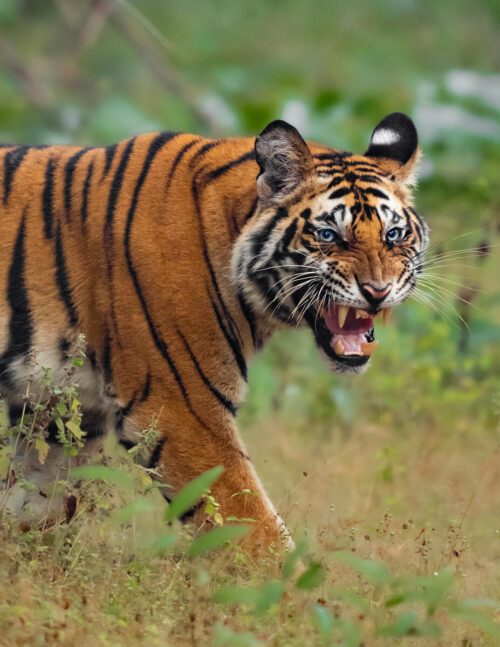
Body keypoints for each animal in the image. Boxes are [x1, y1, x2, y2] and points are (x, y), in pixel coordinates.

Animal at [0, 112, 428, 551]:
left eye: (393, 234)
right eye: (328, 235)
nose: (377, 291)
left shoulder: (63, 414)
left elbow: (33, 504)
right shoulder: (181, 409)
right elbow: (253, 528)